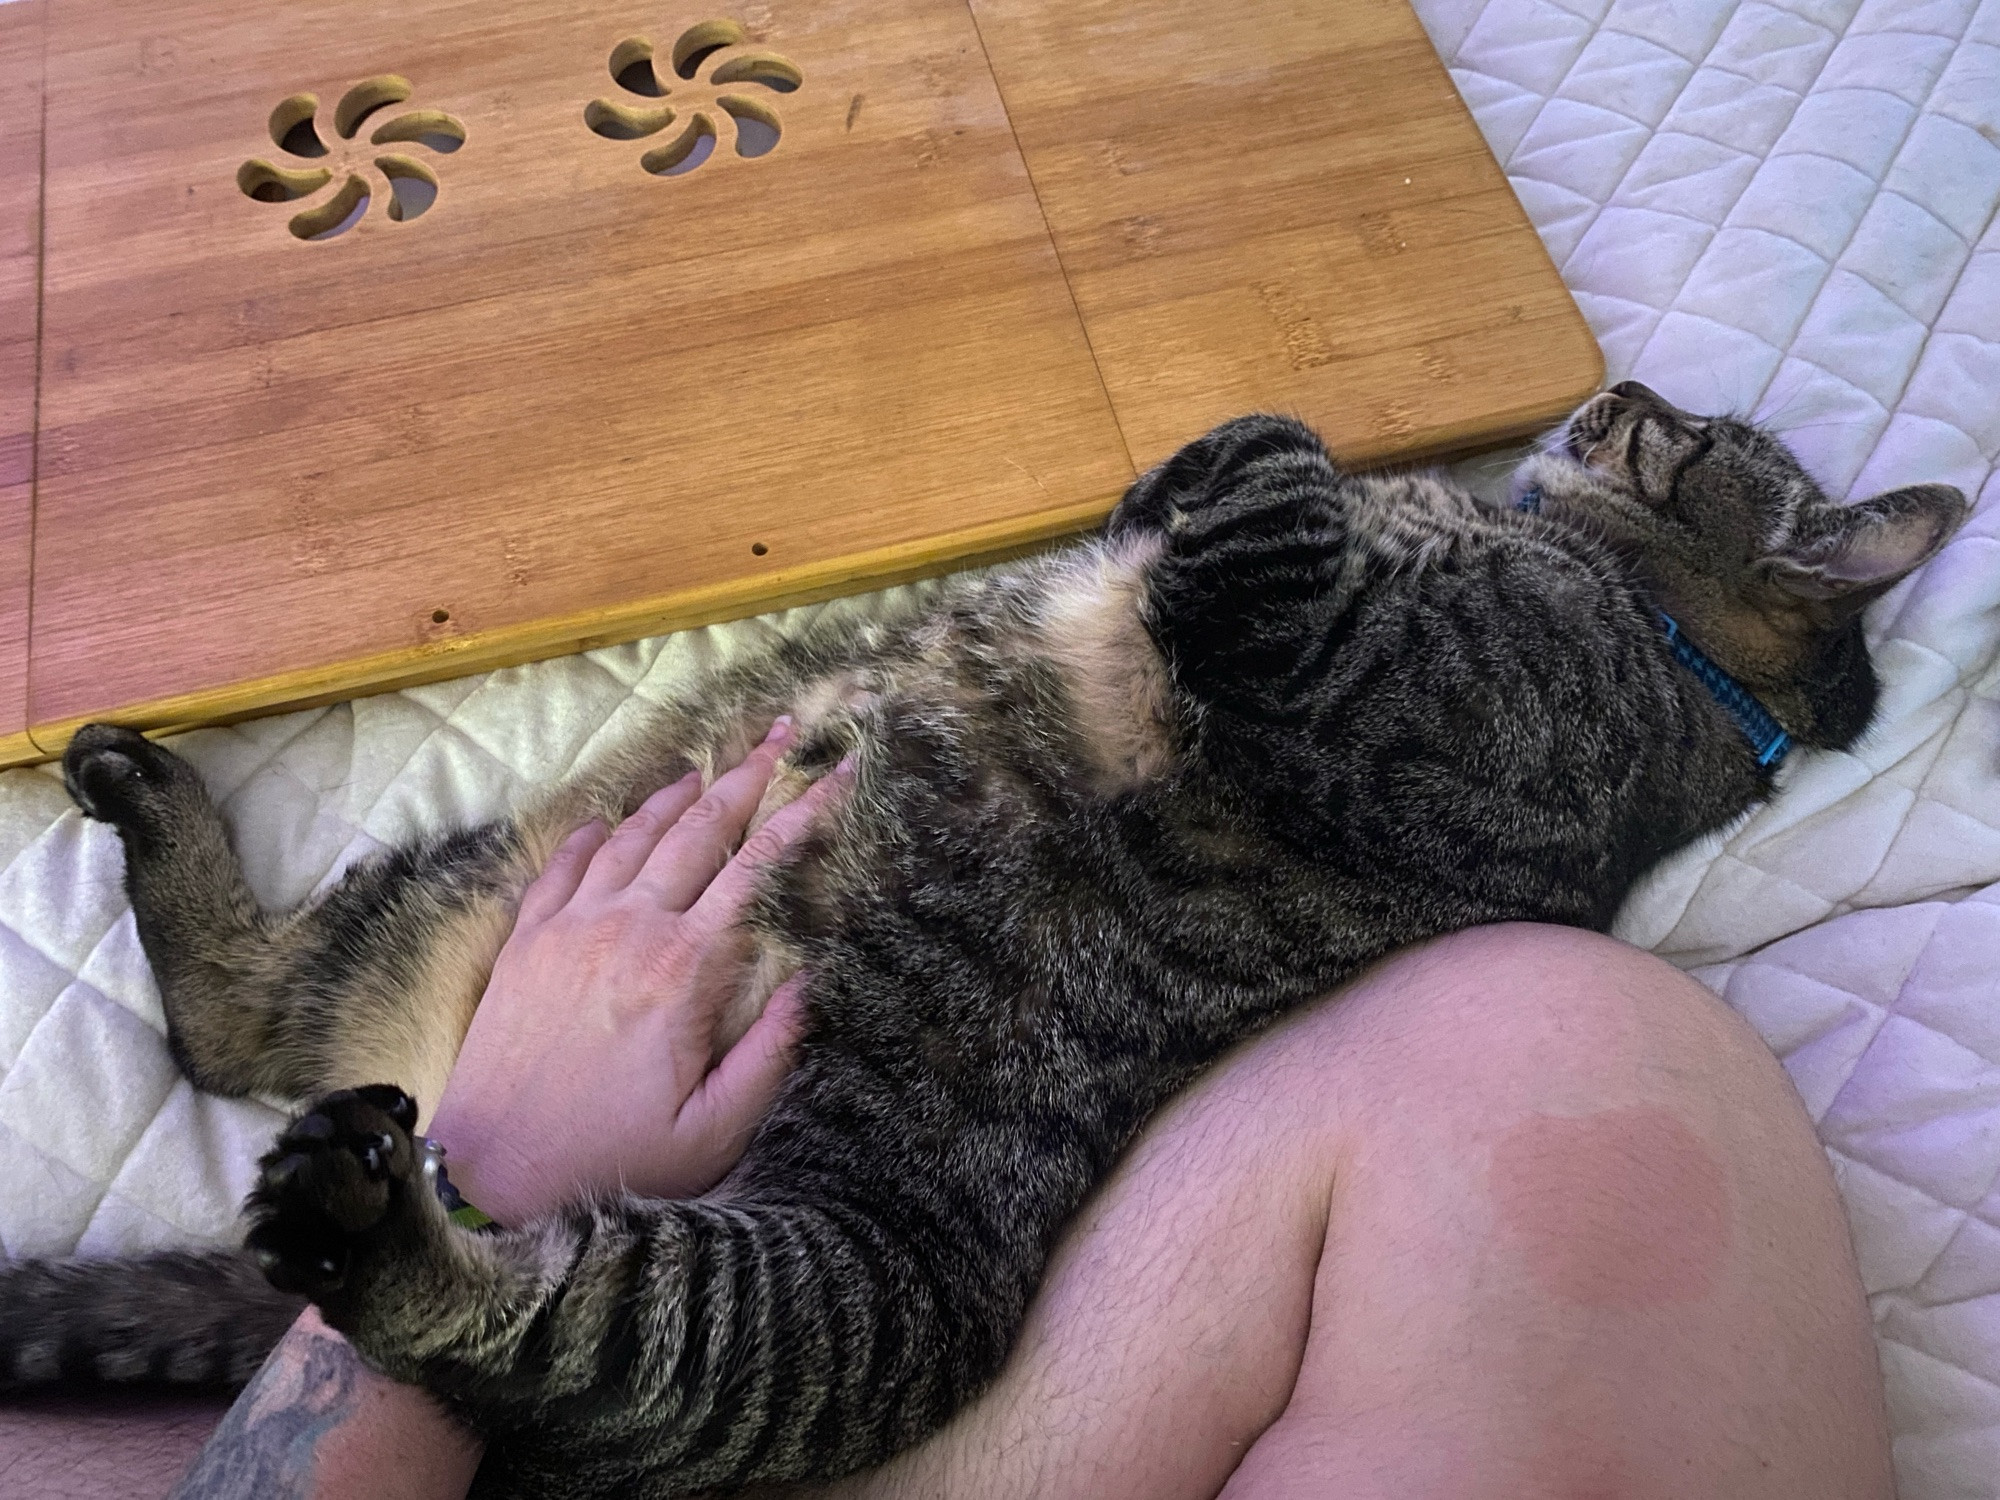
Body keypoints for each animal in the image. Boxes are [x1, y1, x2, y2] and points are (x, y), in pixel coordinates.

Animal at [0, 390, 1968, 1500]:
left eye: (1677, 436)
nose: (1618, 382)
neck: (1658, 643)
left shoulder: (1343, 676)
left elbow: (1279, 485)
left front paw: (1256, 445)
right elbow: (1224, 501)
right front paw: (1177, 476)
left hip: (824, 1302)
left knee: (488, 1283)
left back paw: (372, 1223)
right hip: (460, 882)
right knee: (243, 1024)